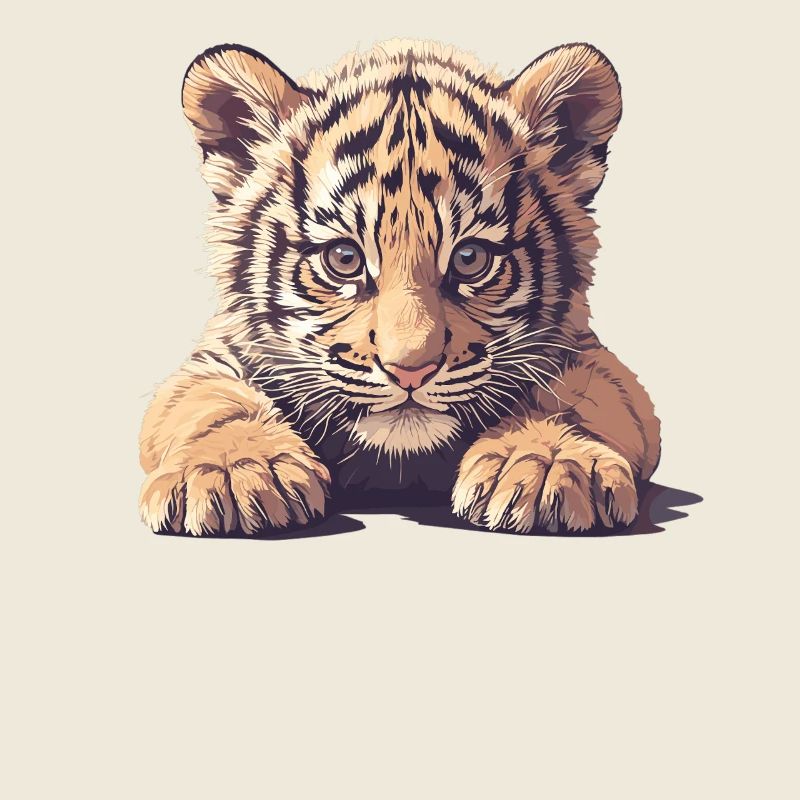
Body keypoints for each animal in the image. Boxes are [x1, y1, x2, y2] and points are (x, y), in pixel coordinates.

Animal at [139, 39, 661, 536]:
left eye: (470, 259)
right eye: (344, 259)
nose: (411, 371)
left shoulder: (589, 355)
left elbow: (574, 397)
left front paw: (548, 463)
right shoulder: (217, 356)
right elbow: (212, 403)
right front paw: (233, 469)